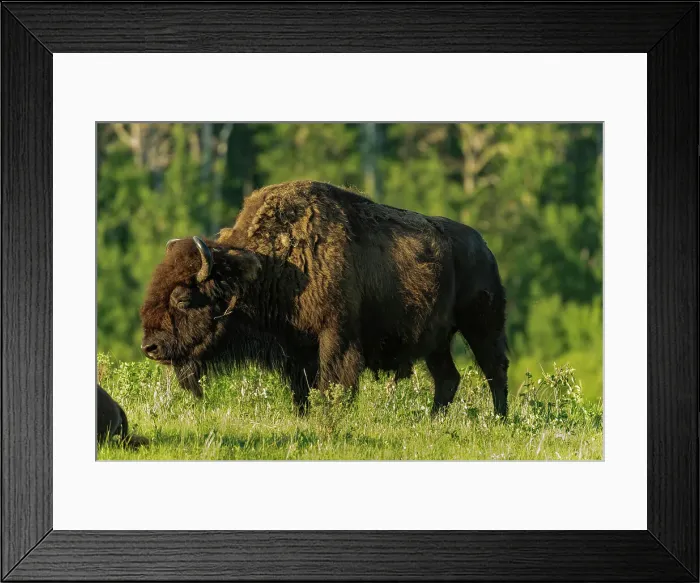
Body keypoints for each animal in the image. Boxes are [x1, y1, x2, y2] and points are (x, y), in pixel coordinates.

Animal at [140, 180, 509, 416]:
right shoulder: (295, 348)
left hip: (481, 326)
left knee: (495, 369)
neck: (268, 266)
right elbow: (301, 389)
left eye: (183, 299)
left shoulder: (336, 336)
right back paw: (433, 420)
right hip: (437, 341)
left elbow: (334, 383)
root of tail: (484, 247)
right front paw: (303, 416)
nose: (150, 347)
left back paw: (499, 419)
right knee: (448, 378)